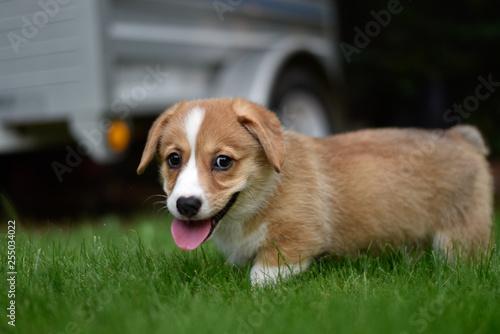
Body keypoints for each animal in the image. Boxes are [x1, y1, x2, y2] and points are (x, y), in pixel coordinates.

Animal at [136, 96, 492, 284]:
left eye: (223, 162)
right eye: (174, 159)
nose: (186, 205)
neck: (264, 193)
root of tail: (461, 137)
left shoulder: (297, 235)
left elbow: (265, 272)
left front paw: (257, 290)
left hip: (460, 233)